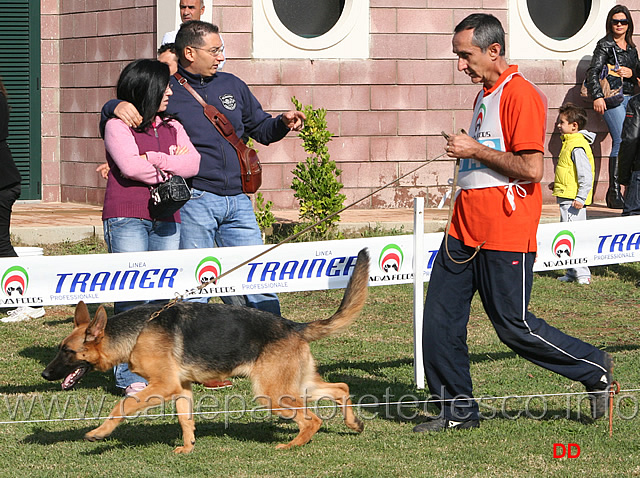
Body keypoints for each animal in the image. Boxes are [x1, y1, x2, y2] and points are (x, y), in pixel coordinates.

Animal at [42, 248, 370, 454]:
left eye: (67, 351)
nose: (44, 374)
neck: (136, 334)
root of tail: (294, 326)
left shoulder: (163, 385)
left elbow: (123, 405)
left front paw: (99, 433)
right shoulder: (181, 389)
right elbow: (186, 420)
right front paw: (188, 448)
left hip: (273, 394)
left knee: (312, 419)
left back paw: (292, 446)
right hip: (296, 386)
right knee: (341, 387)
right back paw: (353, 423)